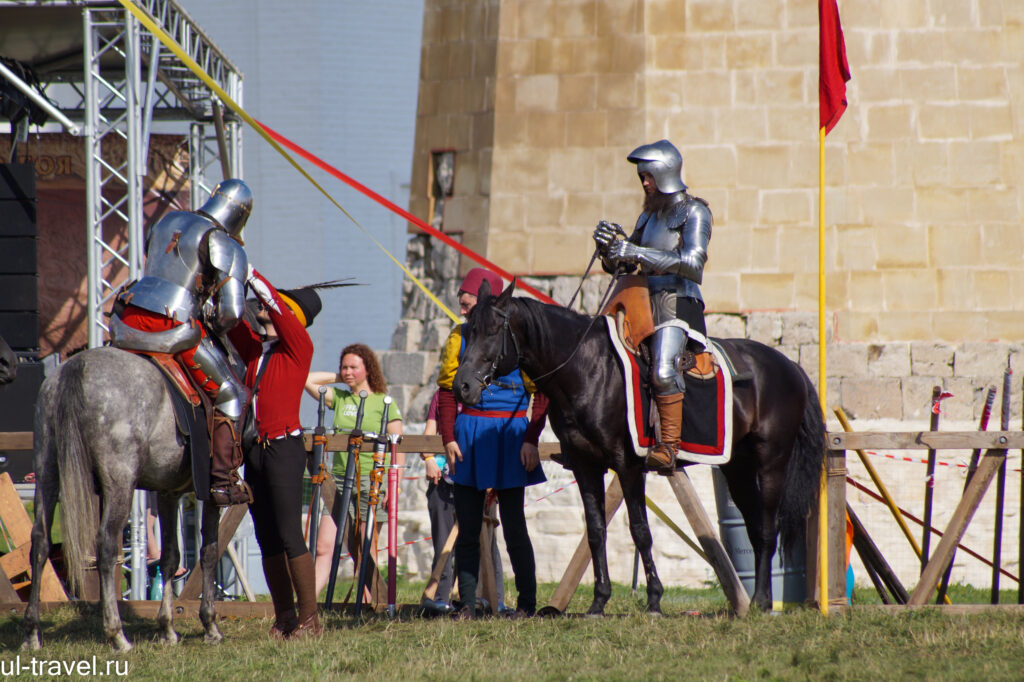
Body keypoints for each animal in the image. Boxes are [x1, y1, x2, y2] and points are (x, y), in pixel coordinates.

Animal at [24, 348, 224, 651]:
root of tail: (76, 366)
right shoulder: (212, 493)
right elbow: (209, 552)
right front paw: (210, 625)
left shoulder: (168, 493)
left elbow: (170, 556)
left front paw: (167, 628)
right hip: (120, 483)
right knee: (106, 544)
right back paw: (117, 634)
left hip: (47, 471)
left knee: (40, 542)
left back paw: (32, 633)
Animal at [452, 278, 827, 614]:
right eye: (469, 330)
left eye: (492, 331)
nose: (462, 387)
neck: (587, 369)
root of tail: (790, 366)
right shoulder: (586, 467)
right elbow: (595, 531)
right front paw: (599, 602)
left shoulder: (629, 466)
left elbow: (640, 531)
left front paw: (654, 601)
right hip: (738, 468)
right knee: (753, 525)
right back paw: (755, 603)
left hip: (771, 462)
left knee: (766, 528)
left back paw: (762, 601)